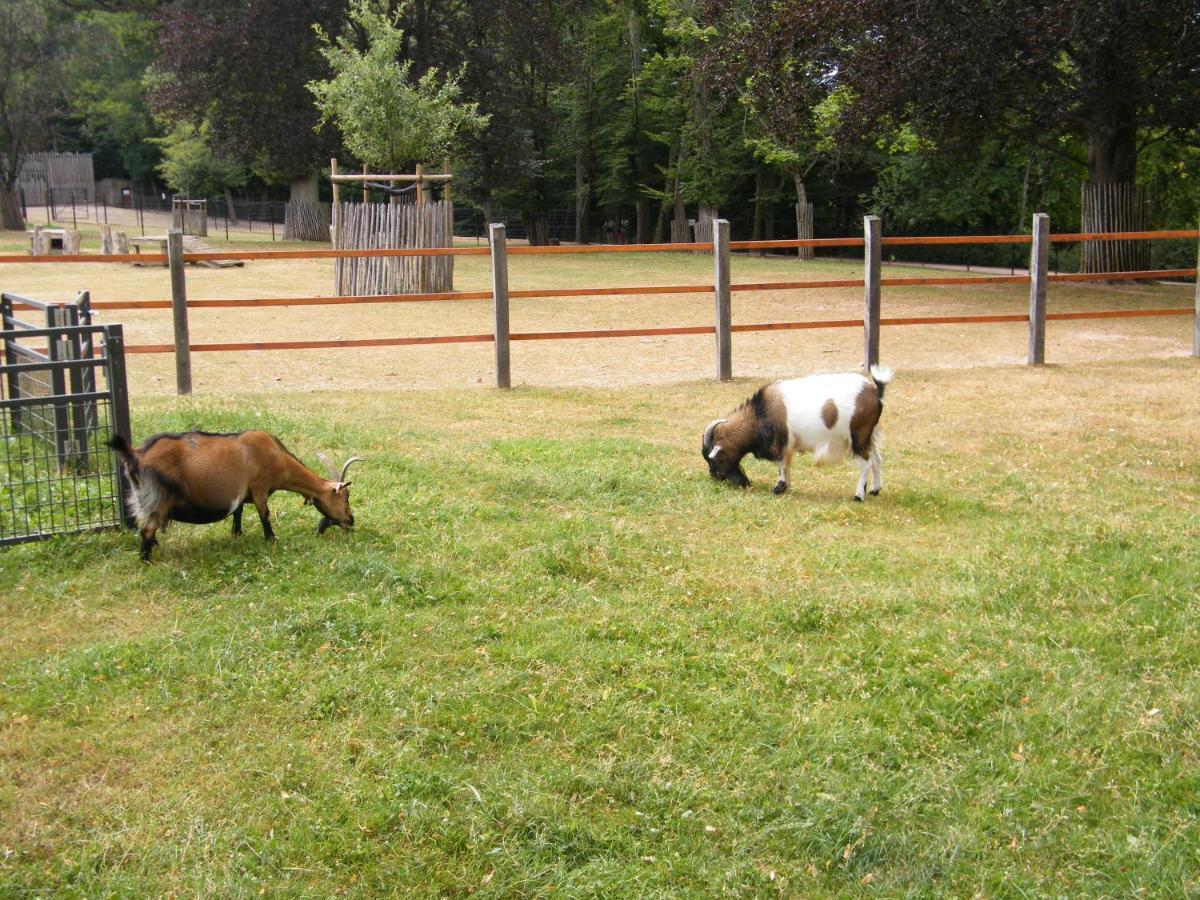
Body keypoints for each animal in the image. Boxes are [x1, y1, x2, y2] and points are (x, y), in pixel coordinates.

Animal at [108, 432, 360, 564]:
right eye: (345, 497)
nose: (351, 520)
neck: (276, 456)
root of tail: (137, 455)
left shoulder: (244, 493)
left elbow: (238, 511)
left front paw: (237, 533)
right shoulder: (259, 486)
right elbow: (264, 513)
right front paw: (271, 538)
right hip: (160, 498)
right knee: (147, 529)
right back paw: (146, 560)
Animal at [700, 369, 892, 504]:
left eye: (714, 459)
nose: (714, 476)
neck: (759, 413)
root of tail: (876, 391)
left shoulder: (780, 444)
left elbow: (781, 466)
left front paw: (778, 488)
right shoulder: (787, 445)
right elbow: (787, 465)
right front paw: (785, 487)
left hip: (858, 436)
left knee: (866, 464)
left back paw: (859, 495)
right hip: (869, 435)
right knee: (877, 460)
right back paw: (875, 489)